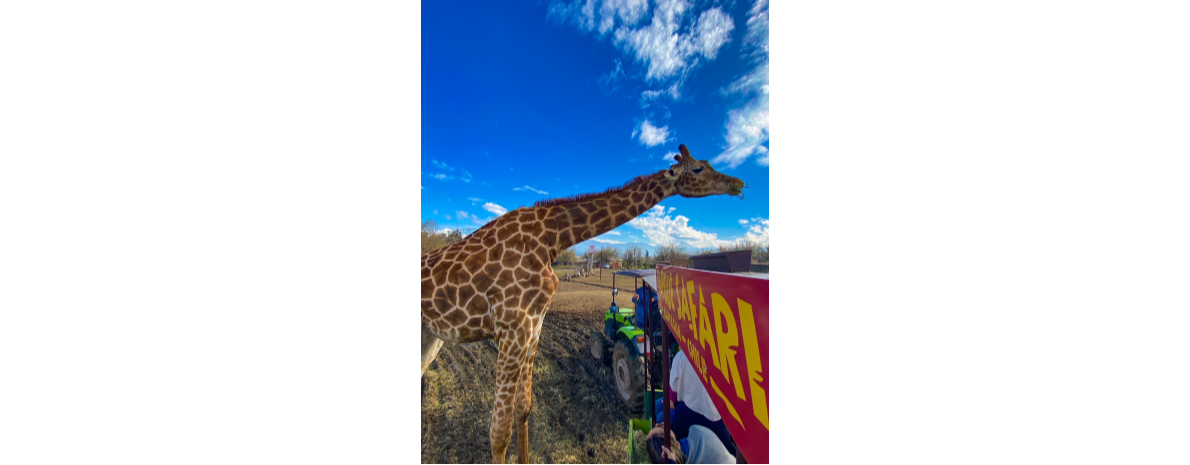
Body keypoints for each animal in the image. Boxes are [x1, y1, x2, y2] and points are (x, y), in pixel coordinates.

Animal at [418, 143, 742, 463]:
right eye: (698, 169)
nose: (737, 184)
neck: (550, 238)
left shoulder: (532, 327)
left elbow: (524, 410)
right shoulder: (512, 328)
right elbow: (498, 433)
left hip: (431, 338)